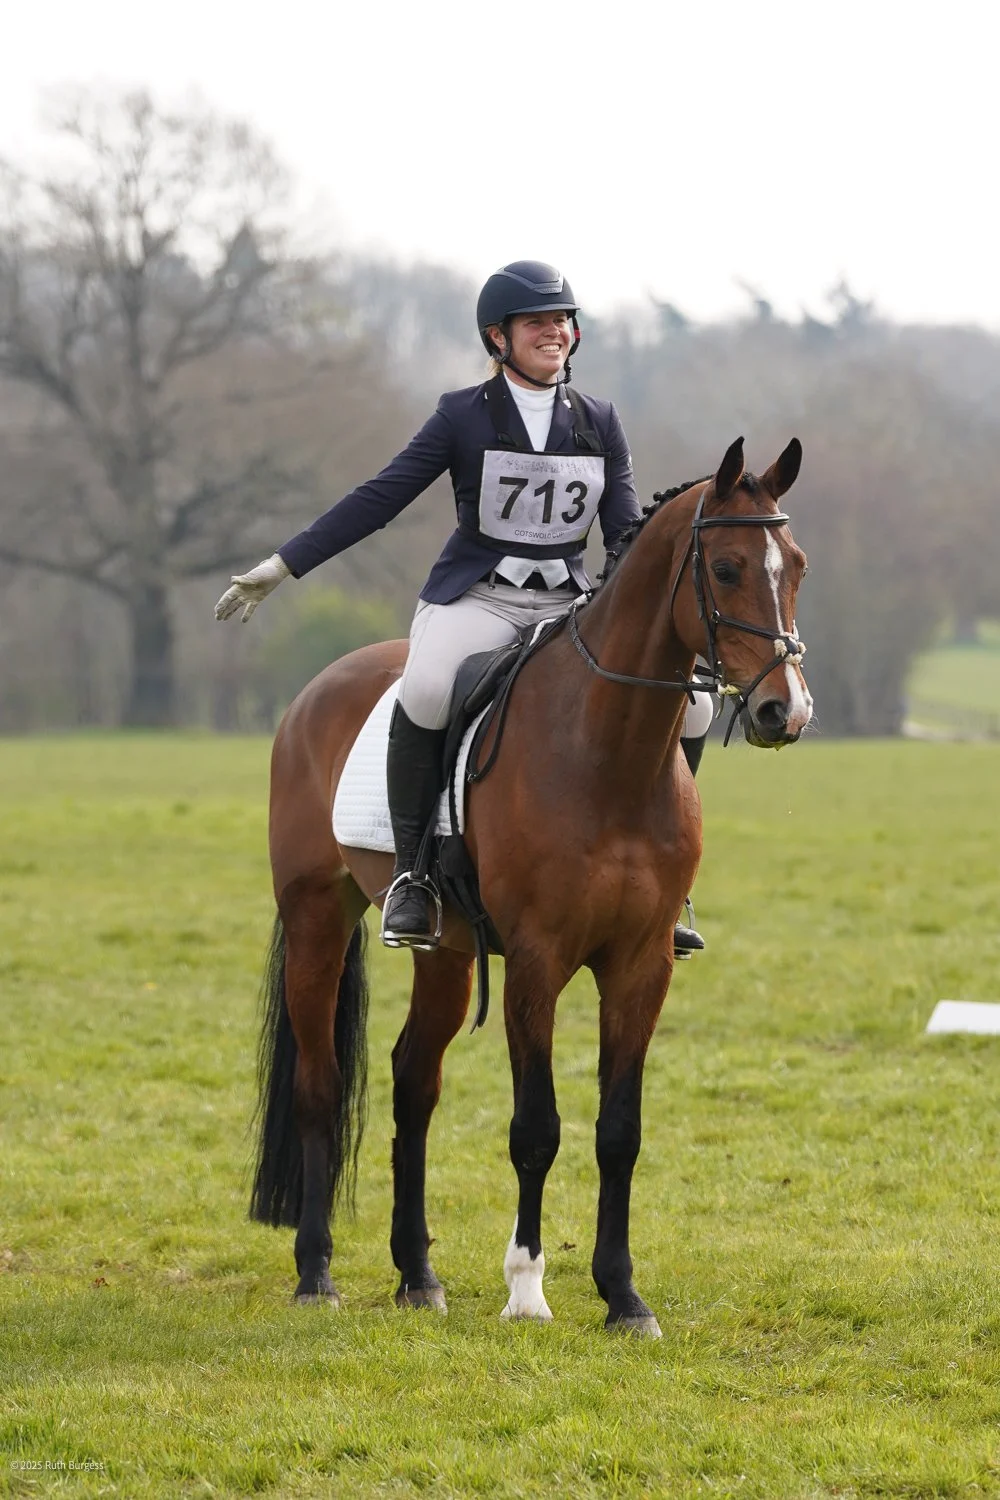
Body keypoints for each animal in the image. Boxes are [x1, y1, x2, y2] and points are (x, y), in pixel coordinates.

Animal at [249, 435, 812, 1336]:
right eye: (725, 569)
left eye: (794, 566)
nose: (782, 713)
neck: (609, 752)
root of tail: (318, 690)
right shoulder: (539, 962)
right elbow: (536, 1128)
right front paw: (526, 1287)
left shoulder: (641, 964)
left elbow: (619, 1131)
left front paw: (623, 1297)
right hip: (315, 917)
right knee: (319, 1085)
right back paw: (316, 1273)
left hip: (444, 950)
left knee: (414, 1082)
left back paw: (418, 1276)